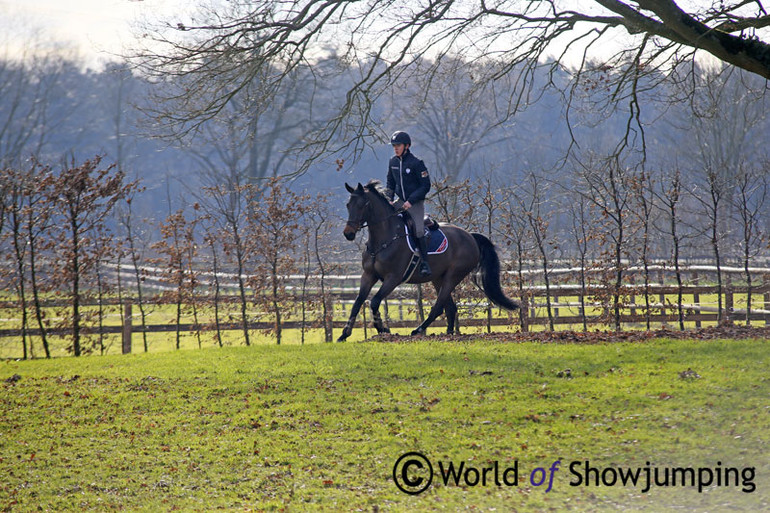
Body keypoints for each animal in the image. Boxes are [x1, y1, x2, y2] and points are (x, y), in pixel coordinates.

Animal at [340, 180, 520, 340]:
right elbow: (358, 302)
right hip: (438, 278)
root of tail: (470, 236)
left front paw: (382, 328)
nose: (348, 233)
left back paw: (418, 330)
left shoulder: (393, 278)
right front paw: (345, 334)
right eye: (348, 205)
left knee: (439, 306)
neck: (384, 239)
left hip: (452, 276)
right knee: (450, 308)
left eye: (363, 205)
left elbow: (374, 301)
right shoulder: (368, 275)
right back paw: (449, 333)